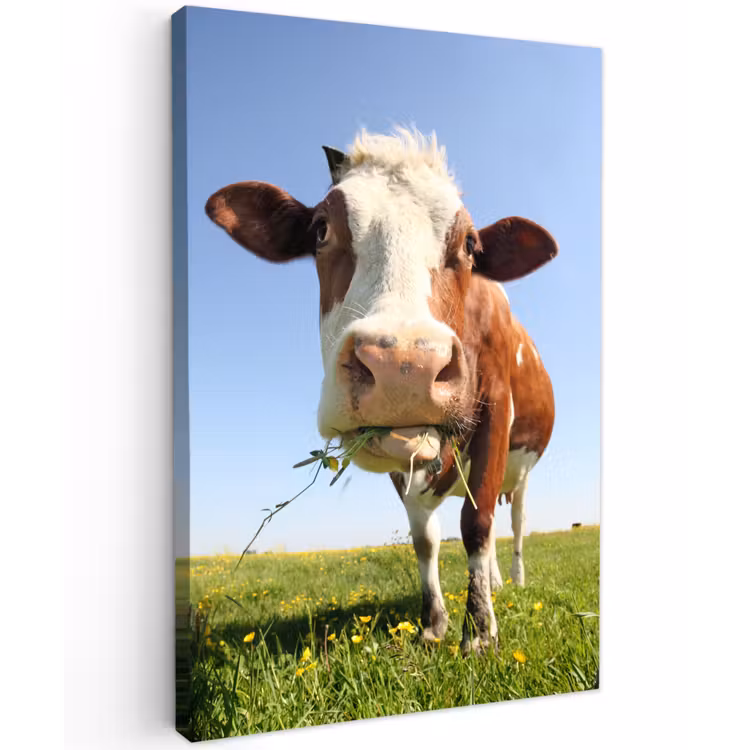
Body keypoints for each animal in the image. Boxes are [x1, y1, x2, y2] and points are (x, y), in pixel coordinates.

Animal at [205, 128, 557, 654]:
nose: (403, 366)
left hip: (523, 471)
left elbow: (475, 525)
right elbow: (424, 538)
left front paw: (479, 632)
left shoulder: (496, 408)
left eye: (470, 244)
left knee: (510, 525)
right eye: (320, 229)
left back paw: (510, 581)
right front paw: (435, 624)